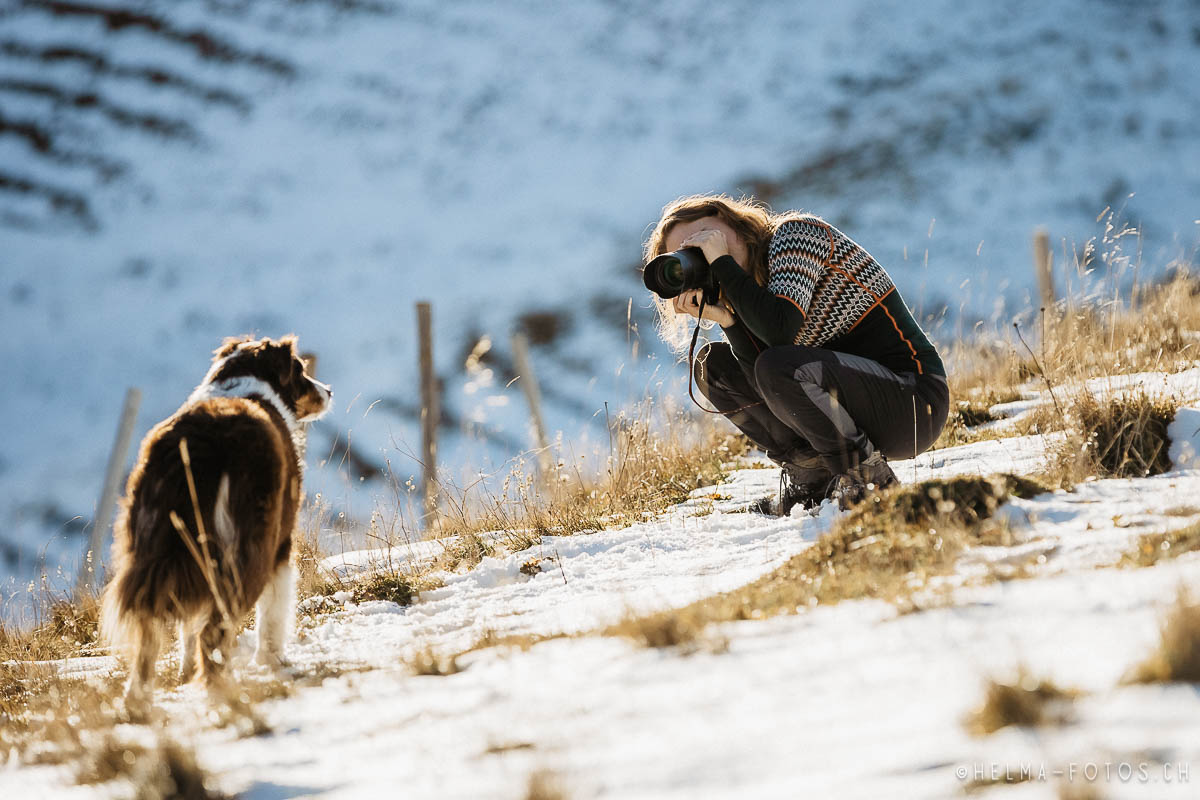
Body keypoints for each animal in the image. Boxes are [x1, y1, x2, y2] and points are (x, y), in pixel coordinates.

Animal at [100, 335, 328, 710]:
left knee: (149, 632)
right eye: (300, 369)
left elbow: (187, 628)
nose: (329, 391)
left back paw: (138, 700)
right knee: (215, 629)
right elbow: (274, 611)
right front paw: (273, 662)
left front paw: (185, 671)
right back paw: (223, 690)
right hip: (248, 547)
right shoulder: (282, 543)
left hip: (151, 545)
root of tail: (201, 442)